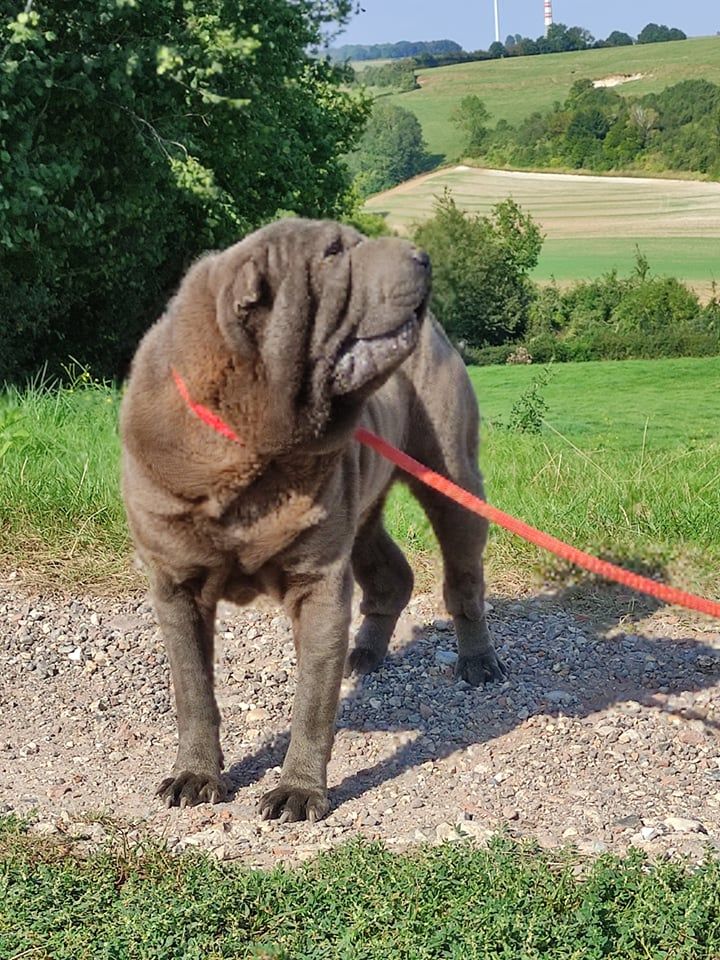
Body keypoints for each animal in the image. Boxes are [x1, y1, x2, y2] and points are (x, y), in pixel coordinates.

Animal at [121, 219, 504, 824]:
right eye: (333, 253)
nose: (422, 256)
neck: (252, 440)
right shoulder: (175, 586)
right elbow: (193, 690)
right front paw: (195, 776)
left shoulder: (319, 582)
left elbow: (312, 703)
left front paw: (299, 790)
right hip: (361, 512)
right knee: (390, 576)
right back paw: (365, 653)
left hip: (454, 481)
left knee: (462, 582)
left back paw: (479, 662)